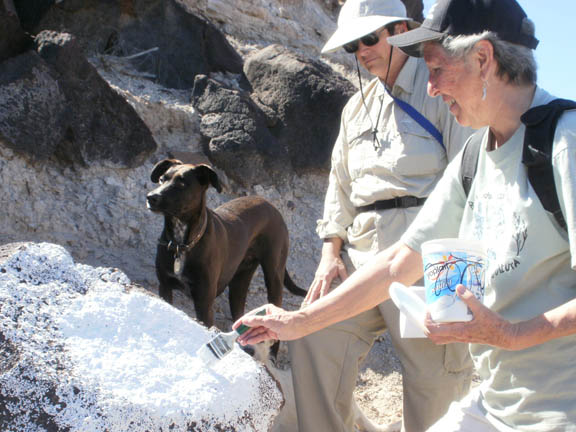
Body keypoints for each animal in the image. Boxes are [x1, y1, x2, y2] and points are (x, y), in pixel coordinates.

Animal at [145, 160, 306, 326]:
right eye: (162, 179)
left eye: (182, 184)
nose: (151, 197)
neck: (183, 244)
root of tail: (270, 205)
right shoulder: (165, 287)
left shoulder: (204, 302)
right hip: (239, 282)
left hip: (273, 274)